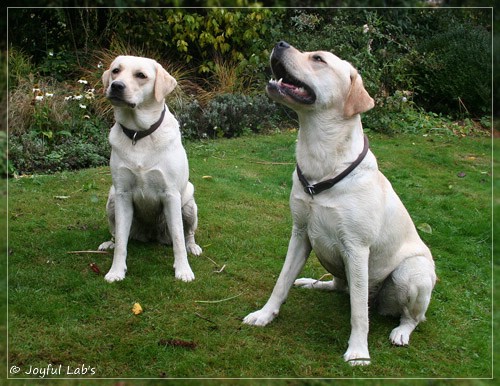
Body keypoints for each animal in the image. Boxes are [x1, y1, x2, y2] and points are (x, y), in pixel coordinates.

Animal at [98, 55, 202, 284]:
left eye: (141, 75)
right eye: (115, 71)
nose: (116, 86)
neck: (139, 134)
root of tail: (152, 234)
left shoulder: (171, 194)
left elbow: (179, 239)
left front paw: (183, 270)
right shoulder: (122, 194)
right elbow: (121, 243)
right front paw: (116, 271)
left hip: (189, 204)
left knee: (188, 233)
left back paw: (193, 247)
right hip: (111, 199)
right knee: (117, 234)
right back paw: (109, 243)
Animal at [244, 42, 436, 364]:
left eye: (318, 59)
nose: (280, 43)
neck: (321, 159)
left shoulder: (357, 249)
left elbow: (359, 312)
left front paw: (358, 351)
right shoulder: (300, 234)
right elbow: (281, 282)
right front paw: (265, 314)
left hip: (412, 273)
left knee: (409, 316)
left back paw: (400, 332)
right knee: (339, 286)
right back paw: (314, 283)